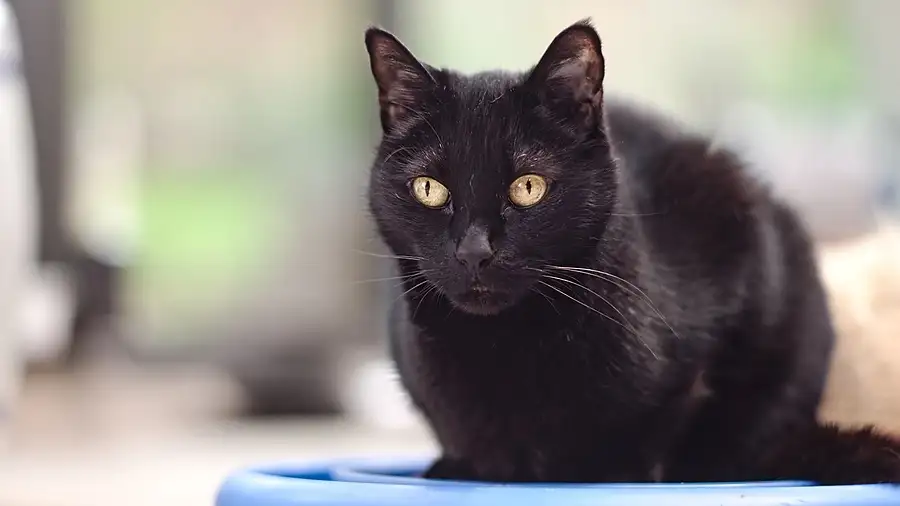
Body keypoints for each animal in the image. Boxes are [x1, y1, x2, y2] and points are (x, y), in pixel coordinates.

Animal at [364, 19, 900, 484]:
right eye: (429, 188)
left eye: (528, 187)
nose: (474, 251)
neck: (506, 349)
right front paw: (459, 466)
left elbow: (671, 420)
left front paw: (620, 470)